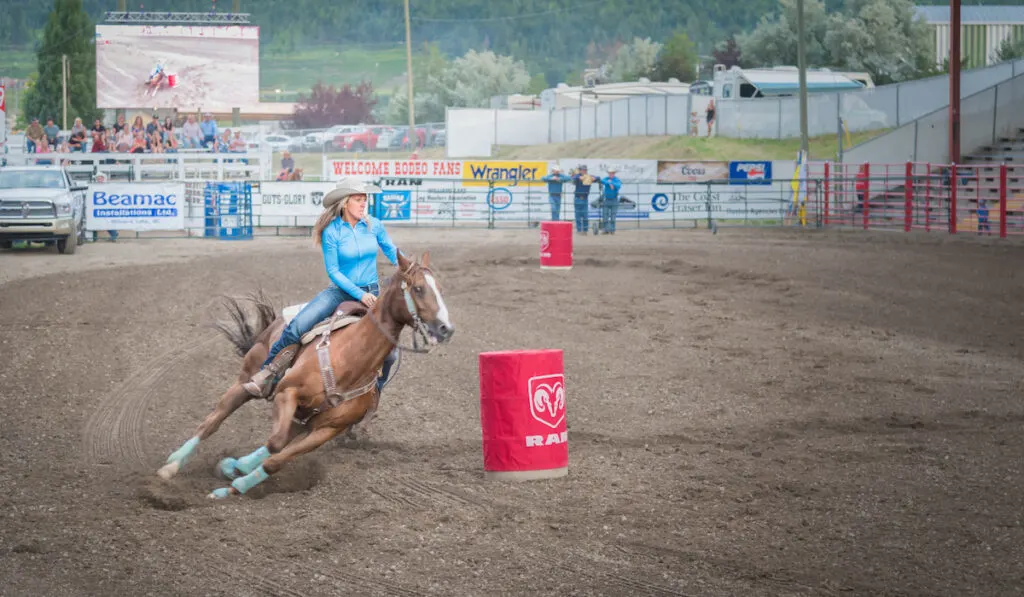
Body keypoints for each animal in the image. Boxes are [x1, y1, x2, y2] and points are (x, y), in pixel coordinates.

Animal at [155, 249, 452, 497]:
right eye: (418, 288)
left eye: (440, 289)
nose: (445, 328)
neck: (349, 359)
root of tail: (275, 323)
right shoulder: (286, 394)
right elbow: (275, 443)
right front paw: (233, 476)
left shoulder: (328, 429)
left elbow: (277, 458)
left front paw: (233, 485)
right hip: (246, 381)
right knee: (213, 421)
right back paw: (171, 466)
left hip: (304, 420)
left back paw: (232, 466)